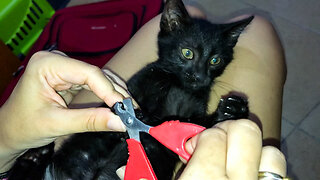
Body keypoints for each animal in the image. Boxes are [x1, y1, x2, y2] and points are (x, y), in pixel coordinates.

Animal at [8, 0, 252, 179]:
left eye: (215, 60)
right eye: (187, 53)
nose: (199, 77)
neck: (176, 84)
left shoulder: (191, 118)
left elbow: (200, 126)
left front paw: (232, 110)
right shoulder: (133, 89)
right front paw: (129, 119)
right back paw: (34, 155)